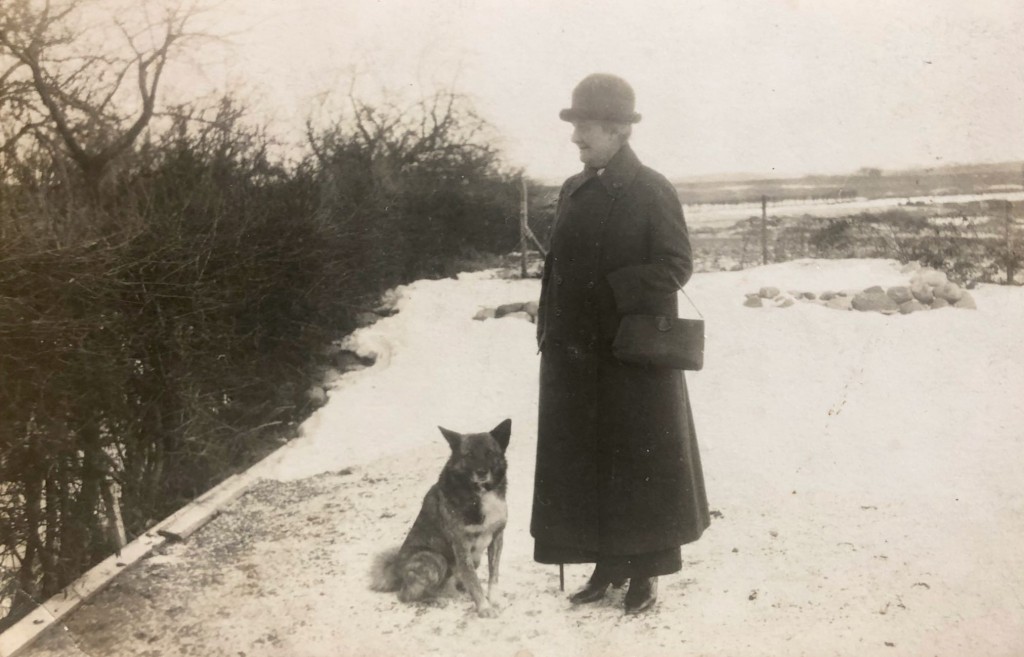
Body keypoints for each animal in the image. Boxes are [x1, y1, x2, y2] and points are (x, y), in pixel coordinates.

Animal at [370, 419, 511, 617]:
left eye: (489, 452)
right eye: (468, 455)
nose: (482, 472)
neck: (479, 493)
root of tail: (396, 570)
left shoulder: (497, 538)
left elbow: (493, 574)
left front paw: (494, 599)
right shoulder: (461, 545)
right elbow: (474, 581)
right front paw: (484, 607)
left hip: (472, 559)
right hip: (433, 559)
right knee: (405, 595)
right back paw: (435, 600)